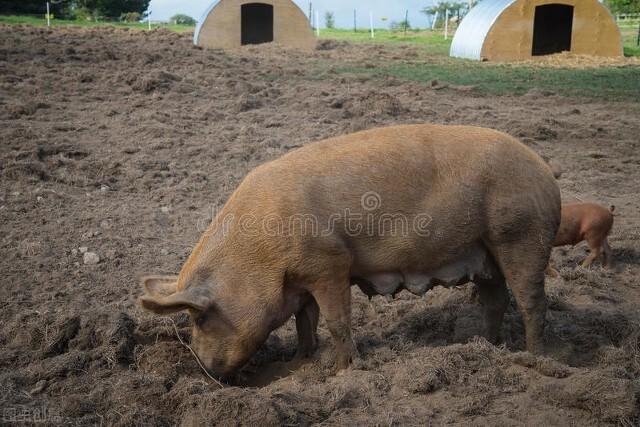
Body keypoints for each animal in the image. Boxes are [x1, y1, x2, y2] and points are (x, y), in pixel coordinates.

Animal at [139, 124, 560, 382]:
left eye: (200, 318)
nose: (205, 371)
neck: (258, 255)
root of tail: (546, 173)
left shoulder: (329, 264)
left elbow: (336, 321)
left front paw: (341, 372)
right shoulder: (302, 278)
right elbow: (304, 321)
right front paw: (299, 362)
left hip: (521, 235)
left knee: (532, 303)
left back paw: (537, 359)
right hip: (486, 252)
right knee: (496, 300)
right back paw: (487, 346)